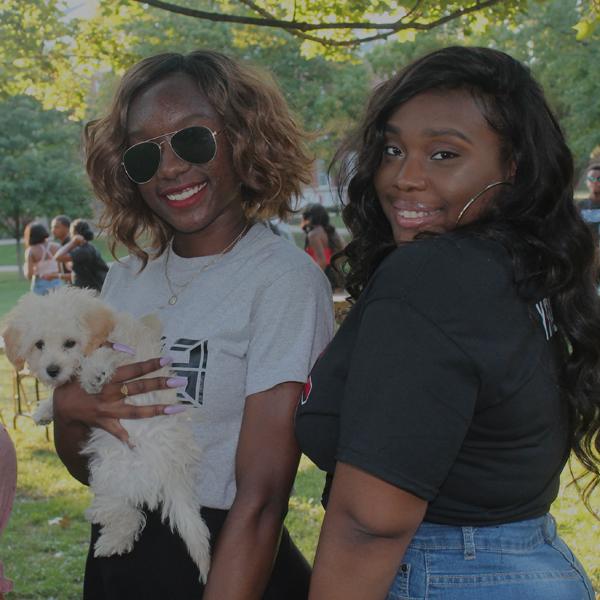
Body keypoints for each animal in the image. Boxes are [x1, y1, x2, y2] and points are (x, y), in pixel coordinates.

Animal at [0, 288, 211, 580]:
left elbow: (100, 360)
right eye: (38, 344)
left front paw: (95, 374)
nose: (52, 370)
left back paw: (108, 538)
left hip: (111, 471)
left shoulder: (122, 352)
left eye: (70, 343)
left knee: (128, 516)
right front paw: (44, 409)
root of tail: (174, 473)